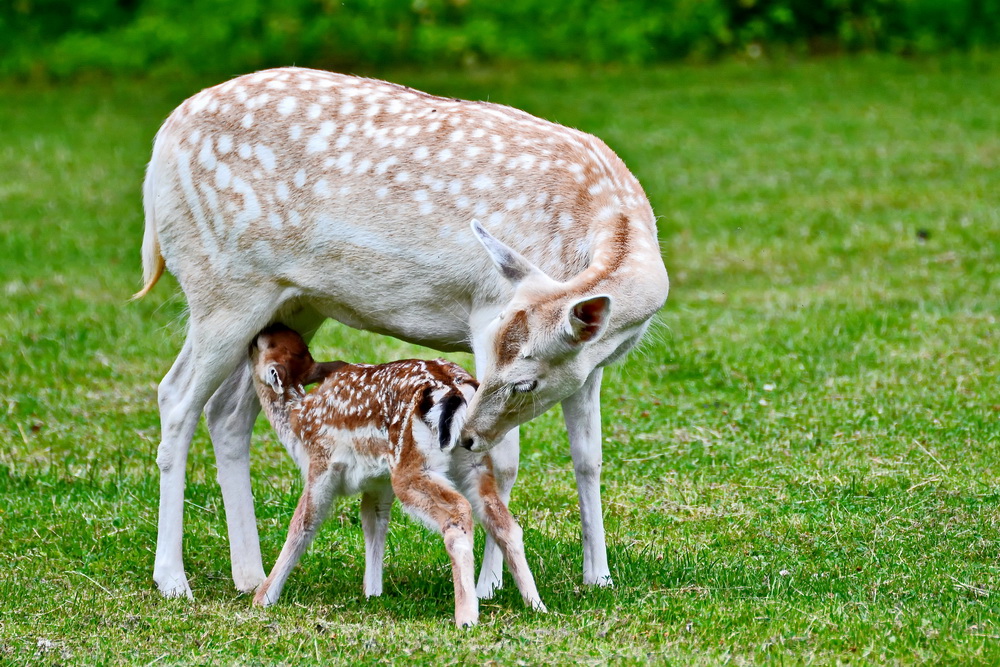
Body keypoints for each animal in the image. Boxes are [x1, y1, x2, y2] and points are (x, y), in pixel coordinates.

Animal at [133, 66, 664, 600]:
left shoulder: (586, 366)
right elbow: (508, 462)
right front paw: (491, 586)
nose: (465, 438)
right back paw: (173, 579)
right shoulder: (485, 310)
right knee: (176, 398)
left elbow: (589, 458)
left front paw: (599, 576)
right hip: (221, 287)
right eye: (494, 358)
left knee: (229, 411)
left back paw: (249, 574)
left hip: (289, 303)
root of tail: (161, 142)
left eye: (527, 382)